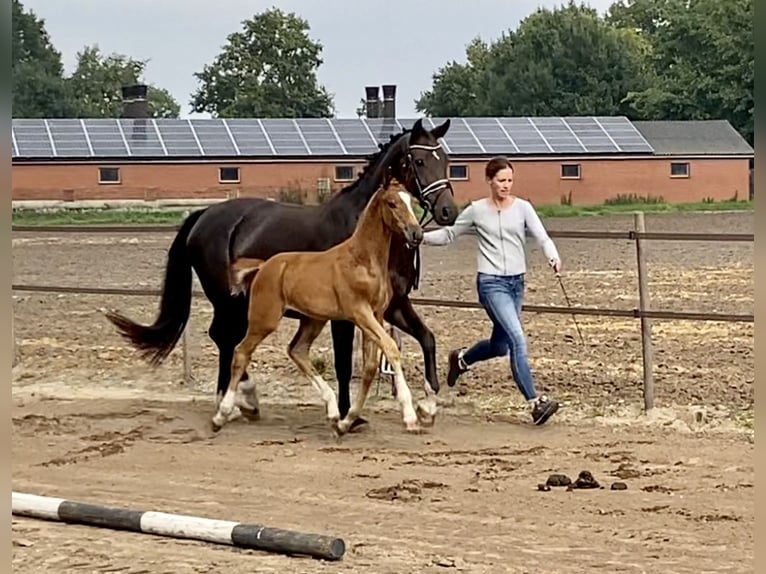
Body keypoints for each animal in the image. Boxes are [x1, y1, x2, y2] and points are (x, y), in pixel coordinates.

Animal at [212, 180, 438, 436]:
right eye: (392, 203)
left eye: (412, 200)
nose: (416, 233)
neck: (362, 260)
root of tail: (262, 267)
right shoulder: (359, 312)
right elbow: (390, 348)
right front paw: (410, 417)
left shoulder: (377, 314)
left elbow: (371, 366)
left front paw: (347, 421)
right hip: (264, 320)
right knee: (241, 352)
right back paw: (222, 415)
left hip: (313, 320)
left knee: (297, 350)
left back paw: (332, 411)